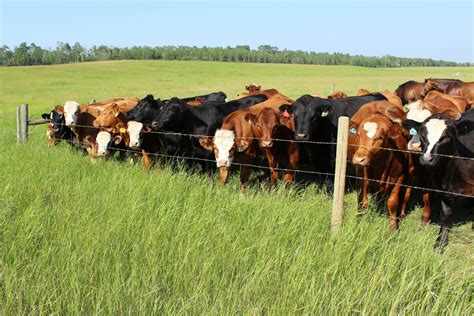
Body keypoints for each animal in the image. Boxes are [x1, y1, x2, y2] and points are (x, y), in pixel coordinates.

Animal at [406, 110, 472, 251]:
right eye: (422, 134)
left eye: (447, 136)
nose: (427, 159)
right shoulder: (442, 191)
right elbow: (445, 216)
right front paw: (440, 242)